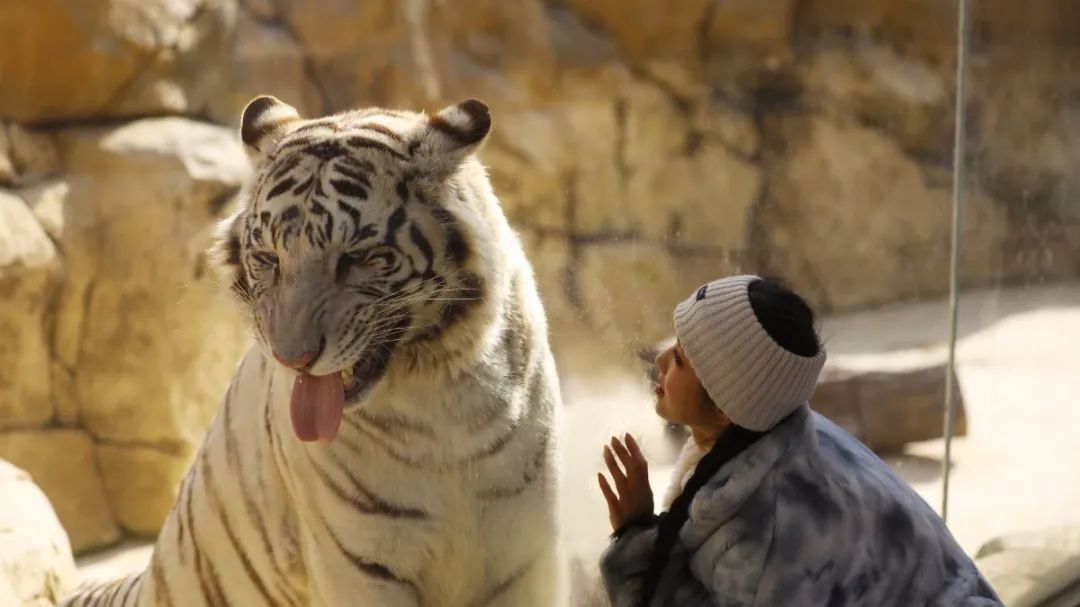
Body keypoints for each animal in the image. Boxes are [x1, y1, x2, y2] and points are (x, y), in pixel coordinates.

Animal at [61, 94, 565, 604]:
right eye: (268, 259)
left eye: (359, 258)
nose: (291, 358)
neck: (440, 405)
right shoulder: (361, 565)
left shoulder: (526, 558)